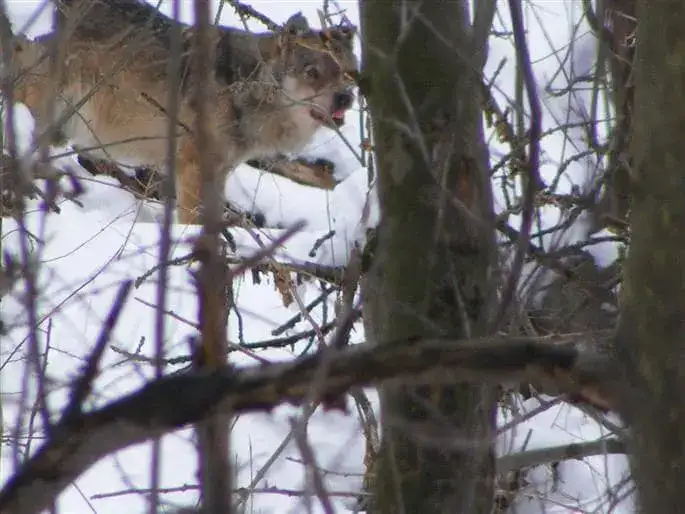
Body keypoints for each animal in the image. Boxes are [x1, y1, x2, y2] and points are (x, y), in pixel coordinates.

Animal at [4, 0, 358, 221]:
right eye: (312, 73)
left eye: (348, 74)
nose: (345, 98)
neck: (246, 86)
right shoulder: (193, 169)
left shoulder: (219, 172)